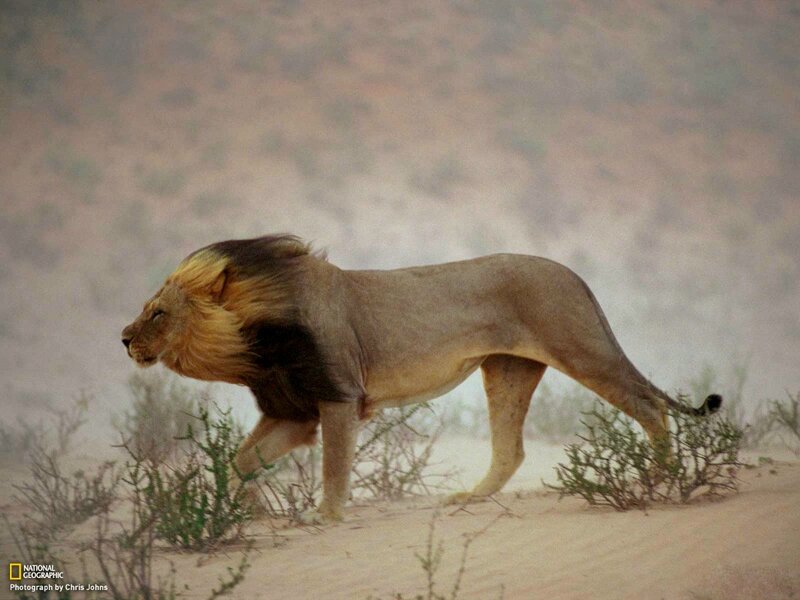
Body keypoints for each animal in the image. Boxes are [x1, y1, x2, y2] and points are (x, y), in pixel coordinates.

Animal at [121, 234, 722, 523]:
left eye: (158, 314)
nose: (123, 338)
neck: (254, 341)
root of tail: (574, 274)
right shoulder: (294, 413)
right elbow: (242, 461)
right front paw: (249, 512)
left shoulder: (338, 398)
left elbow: (334, 468)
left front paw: (324, 518)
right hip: (507, 369)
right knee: (512, 450)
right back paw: (470, 498)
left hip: (582, 349)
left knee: (651, 406)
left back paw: (657, 479)